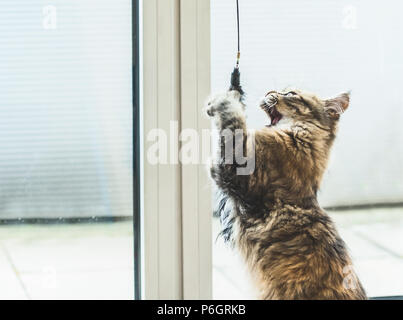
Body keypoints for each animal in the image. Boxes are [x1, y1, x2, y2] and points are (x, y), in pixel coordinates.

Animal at [207, 88, 368, 300]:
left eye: (290, 93)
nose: (269, 91)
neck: (302, 141)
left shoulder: (236, 172)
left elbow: (233, 122)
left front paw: (226, 98)